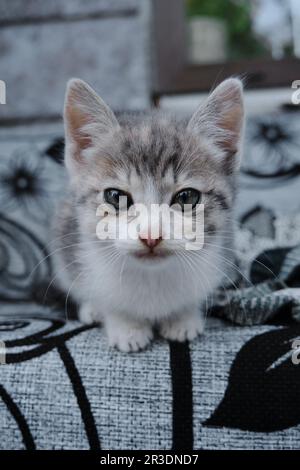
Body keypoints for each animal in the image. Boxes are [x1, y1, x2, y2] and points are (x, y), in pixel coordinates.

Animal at [52, 78, 244, 352]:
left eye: (187, 197)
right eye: (115, 196)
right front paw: (126, 327)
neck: (152, 277)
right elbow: (109, 301)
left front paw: (183, 318)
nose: (151, 236)